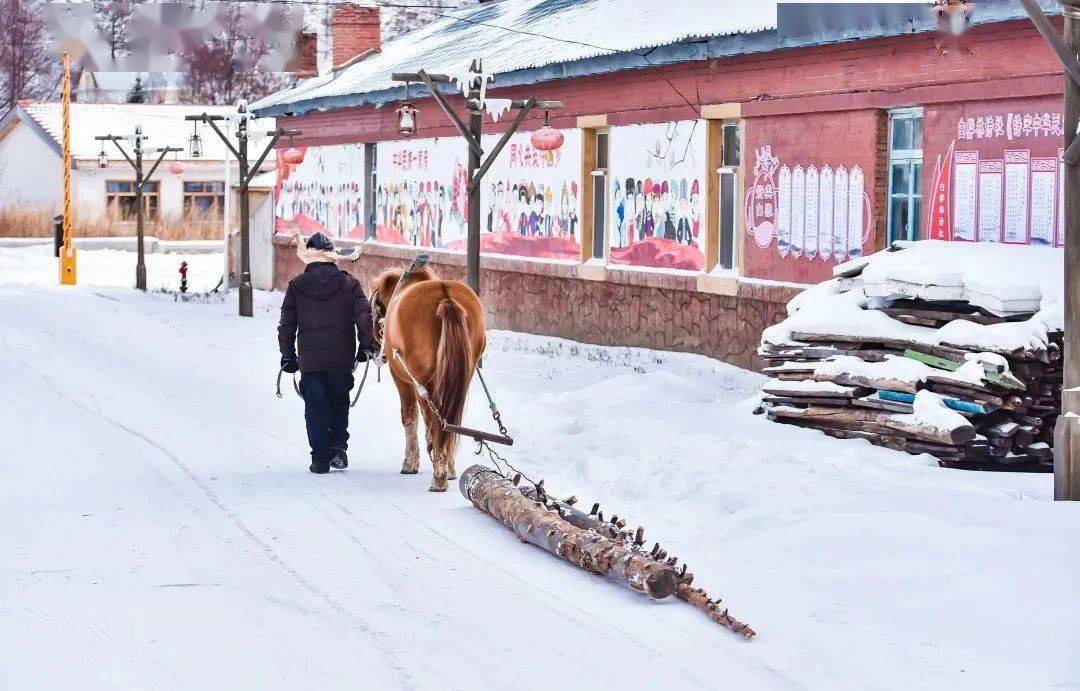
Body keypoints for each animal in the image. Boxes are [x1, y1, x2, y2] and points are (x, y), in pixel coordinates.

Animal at [371, 264, 490, 492]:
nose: (374, 350)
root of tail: (446, 299)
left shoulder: (402, 378)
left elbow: (410, 416)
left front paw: (411, 462)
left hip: (423, 379)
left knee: (436, 420)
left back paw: (439, 475)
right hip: (462, 376)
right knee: (451, 419)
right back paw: (446, 467)